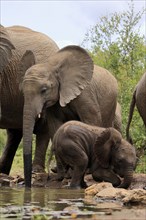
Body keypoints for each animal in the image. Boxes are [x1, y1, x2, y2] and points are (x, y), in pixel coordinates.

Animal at [20, 45, 118, 186]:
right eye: (22, 91)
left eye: (44, 90)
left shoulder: (85, 94)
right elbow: (55, 127)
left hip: (111, 103)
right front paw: (66, 174)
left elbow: (91, 120)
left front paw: (85, 171)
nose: (27, 184)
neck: (52, 66)